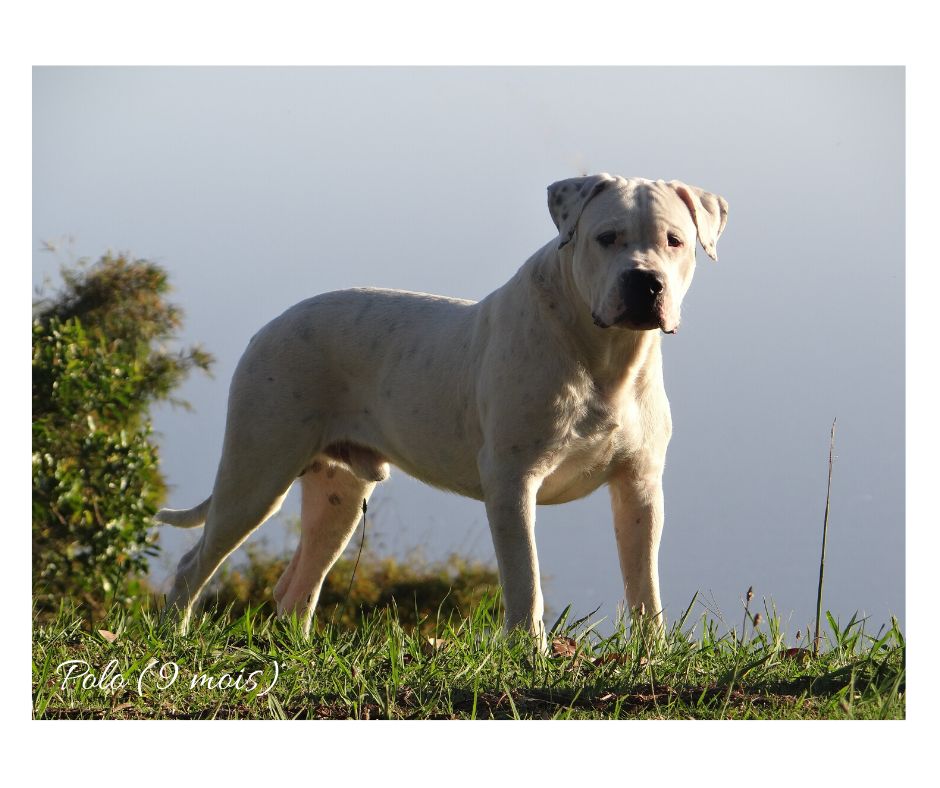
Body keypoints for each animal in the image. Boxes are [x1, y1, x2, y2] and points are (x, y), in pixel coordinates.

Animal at [156, 175, 728, 644]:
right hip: (256, 474)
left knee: (297, 586)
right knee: (193, 564)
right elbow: (526, 583)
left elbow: (644, 587)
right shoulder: (512, 482)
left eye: (674, 241)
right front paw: (529, 658)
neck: (606, 356)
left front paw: (650, 658)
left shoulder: (639, 485)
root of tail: (270, 326)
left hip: (338, 495)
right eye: (606, 238)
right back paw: (173, 640)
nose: (645, 281)